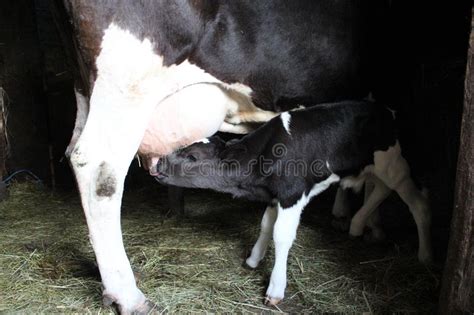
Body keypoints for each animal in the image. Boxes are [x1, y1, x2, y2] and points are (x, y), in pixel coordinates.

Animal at [156, 100, 434, 306]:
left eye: (192, 156)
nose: (158, 164)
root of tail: (388, 110)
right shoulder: (274, 194)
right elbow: (265, 225)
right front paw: (253, 259)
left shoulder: (292, 193)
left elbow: (281, 234)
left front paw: (275, 289)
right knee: (379, 187)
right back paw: (361, 225)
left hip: (393, 162)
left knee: (416, 202)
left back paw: (424, 255)